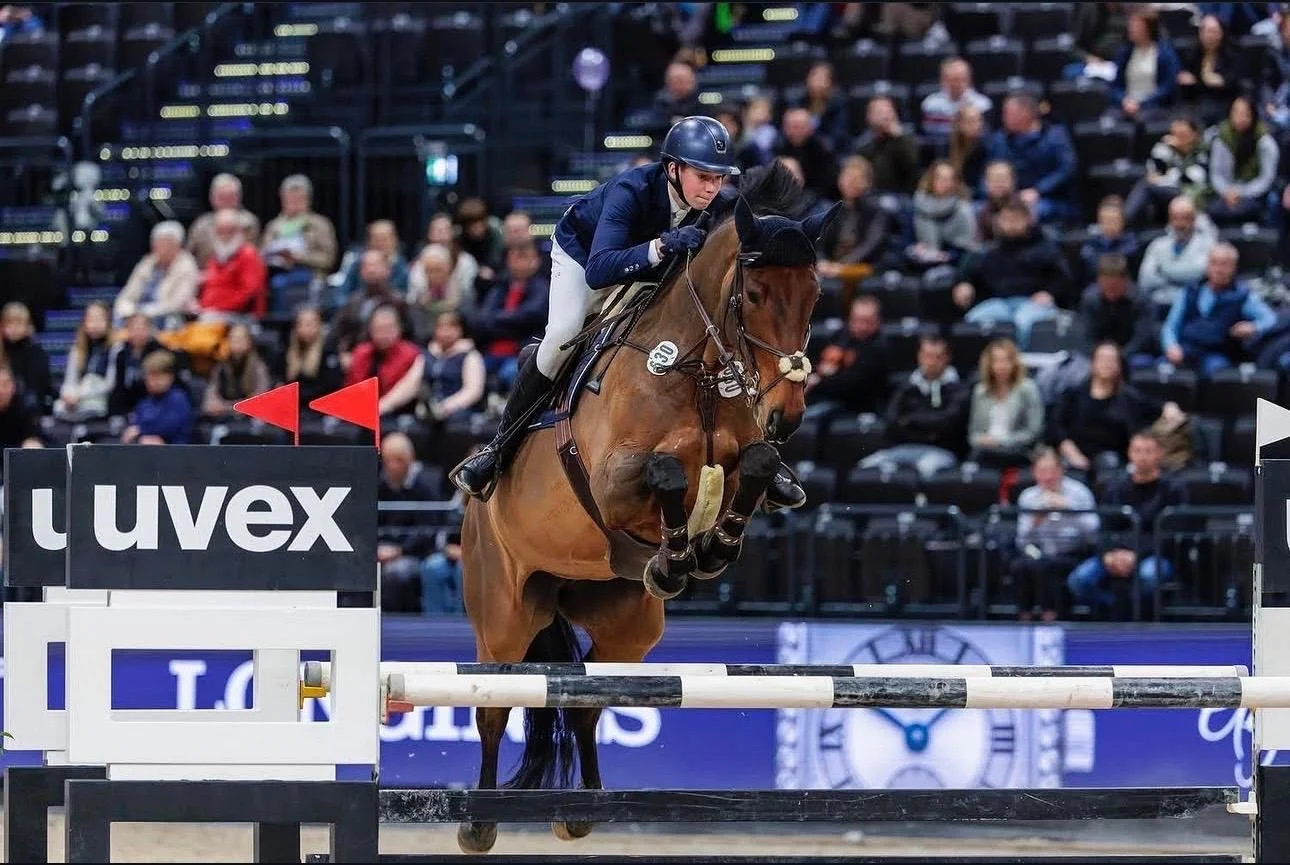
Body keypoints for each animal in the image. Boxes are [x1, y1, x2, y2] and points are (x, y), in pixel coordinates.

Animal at [456, 162, 839, 854]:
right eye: (754, 294)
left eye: (815, 294)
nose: (787, 416)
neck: (695, 368)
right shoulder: (611, 483)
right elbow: (664, 472)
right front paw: (678, 556)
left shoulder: (745, 458)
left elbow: (755, 467)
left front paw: (706, 549)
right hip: (502, 613)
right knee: (493, 704)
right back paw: (479, 820)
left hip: (627, 624)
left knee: (586, 701)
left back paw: (583, 809)